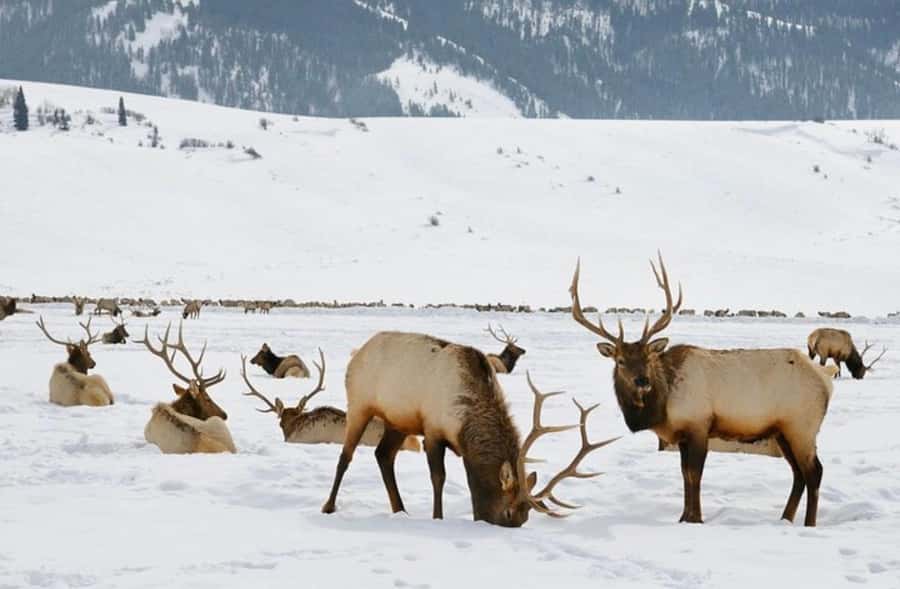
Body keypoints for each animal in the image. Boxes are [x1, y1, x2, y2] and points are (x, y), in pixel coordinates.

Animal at [321, 331, 617, 527]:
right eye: (508, 513)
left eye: (525, 518)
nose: (500, 527)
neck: (464, 419)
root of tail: (357, 352)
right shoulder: (432, 430)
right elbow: (438, 477)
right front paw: (437, 517)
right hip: (359, 404)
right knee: (345, 456)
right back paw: (329, 506)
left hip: (398, 421)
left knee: (383, 455)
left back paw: (400, 510)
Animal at [570, 252, 834, 526]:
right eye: (620, 361)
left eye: (648, 358)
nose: (642, 381)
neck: (662, 408)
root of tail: (826, 379)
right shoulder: (683, 435)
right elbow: (685, 475)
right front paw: (684, 517)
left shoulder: (698, 425)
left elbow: (694, 475)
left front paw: (695, 519)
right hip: (783, 431)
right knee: (798, 474)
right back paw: (785, 519)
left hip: (802, 427)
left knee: (814, 472)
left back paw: (809, 523)